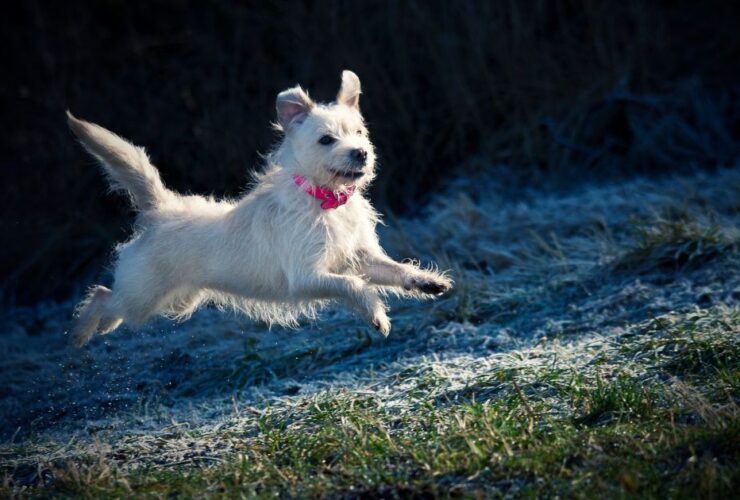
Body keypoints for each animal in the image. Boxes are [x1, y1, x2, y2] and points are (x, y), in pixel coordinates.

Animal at [68, 70, 450, 346]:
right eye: (326, 140)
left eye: (359, 132)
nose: (361, 153)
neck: (324, 201)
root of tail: (161, 209)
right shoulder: (308, 276)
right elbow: (353, 286)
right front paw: (376, 315)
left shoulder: (360, 257)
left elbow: (393, 270)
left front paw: (425, 281)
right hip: (144, 297)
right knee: (103, 295)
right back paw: (82, 333)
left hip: (176, 301)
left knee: (111, 300)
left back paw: (101, 327)